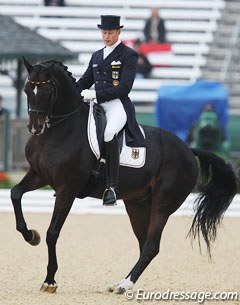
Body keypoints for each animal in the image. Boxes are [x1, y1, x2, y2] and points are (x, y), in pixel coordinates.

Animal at [11, 58, 238, 294]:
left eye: (46, 90)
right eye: (27, 89)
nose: (35, 127)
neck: (58, 131)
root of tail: (188, 149)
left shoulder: (68, 189)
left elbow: (52, 232)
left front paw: (50, 280)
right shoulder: (39, 175)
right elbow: (15, 194)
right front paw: (31, 235)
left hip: (162, 204)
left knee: (151, 246)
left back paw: (124, 285)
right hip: (137, 203)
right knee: (143, 242)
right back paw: (123, 283)